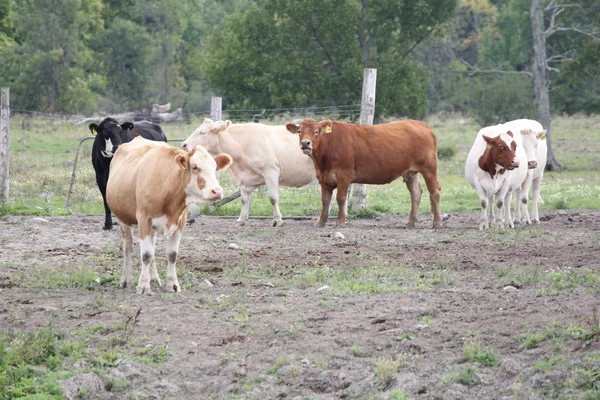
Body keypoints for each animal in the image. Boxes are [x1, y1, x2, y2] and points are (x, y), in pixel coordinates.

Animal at [105, 138, 232, 294]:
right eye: (195, 167)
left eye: (215, 168)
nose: (217, 191)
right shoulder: (143, 219)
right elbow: (146, 254)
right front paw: (143, 285)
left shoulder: (181, 221)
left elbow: (171, 254)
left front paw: (172, 284)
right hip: (123, 218)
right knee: (128, 247)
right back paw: (125, 280)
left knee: (152, 246)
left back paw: (154, 278)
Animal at [182, 117, 314, 227]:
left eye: (202, 132)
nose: (184, 144)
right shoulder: (245, 179)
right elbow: (244, 200)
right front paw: (241, 220)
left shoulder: (271, 172)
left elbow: (273, 198)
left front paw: (277, 220)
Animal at [284, 118, 442, 228]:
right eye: (299, 132)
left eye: (315, 131)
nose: (305, 143)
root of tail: (420, 124)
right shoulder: (324, 179)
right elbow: (325, 201)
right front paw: (321, 222)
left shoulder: (344, 175)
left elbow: (341, 198)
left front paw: (341, 221)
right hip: (411, 172)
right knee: (416, 193)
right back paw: (411, 222)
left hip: (429, 168)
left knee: (434, 192)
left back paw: (437, 222)